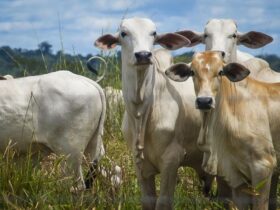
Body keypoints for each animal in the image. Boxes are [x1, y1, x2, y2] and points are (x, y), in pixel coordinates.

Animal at [95, 17, 215, 209]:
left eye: (154, 33)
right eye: (124, 33)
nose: (143, 55)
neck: (142, 112)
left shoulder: (172, 159)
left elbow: (163, 201)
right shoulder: (139, 162)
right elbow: (148, 200)